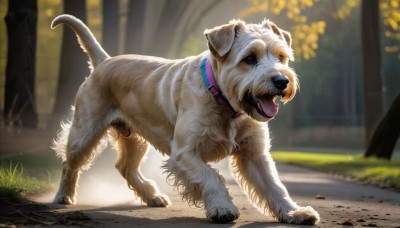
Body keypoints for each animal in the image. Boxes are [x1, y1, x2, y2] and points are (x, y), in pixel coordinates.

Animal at [50, 14, 318, 224]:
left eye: (281, 57)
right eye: (249, 58)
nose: (282, 81)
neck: (224, 103)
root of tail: (104, 61)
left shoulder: (254, 154)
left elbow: (274, 185)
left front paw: (294, 212)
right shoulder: (185, 153)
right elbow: (211, 177)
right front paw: (222, 207)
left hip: (135, 139)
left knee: (125, 167)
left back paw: (152, 196)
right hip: (85, 133)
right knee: (69, 163)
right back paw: (63, 196)